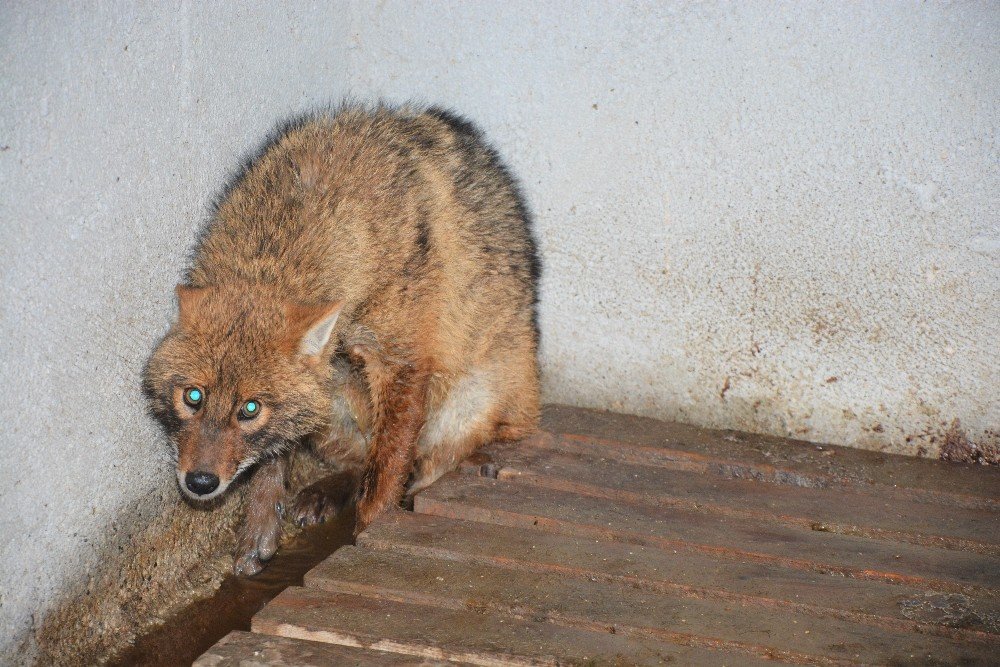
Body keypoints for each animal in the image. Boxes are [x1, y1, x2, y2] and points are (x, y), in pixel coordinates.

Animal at [143, 103, 540, 576]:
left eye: (249, 410)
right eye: (194, 397)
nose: (200, 482)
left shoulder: (400, 363)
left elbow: (384, 476)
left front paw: (370, 538)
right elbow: (273, 461)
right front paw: (258, 530)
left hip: (469, 399)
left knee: (429, 461)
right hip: (331, 403)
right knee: (359, 459)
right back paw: (320, 494)